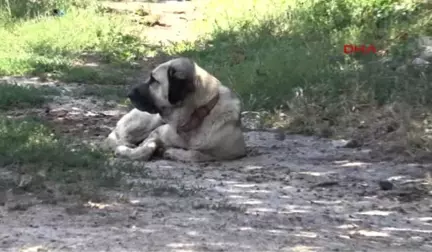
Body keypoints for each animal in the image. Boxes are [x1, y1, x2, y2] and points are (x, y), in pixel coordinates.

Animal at [103, 57, 246, 162]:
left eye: (154, 80)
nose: (129, 94)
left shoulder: (232, 152)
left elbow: (197, 155)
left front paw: (172, 152)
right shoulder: (156, 133)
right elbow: (147, 147)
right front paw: (128, 151)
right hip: (148, 121)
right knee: (116, 136)